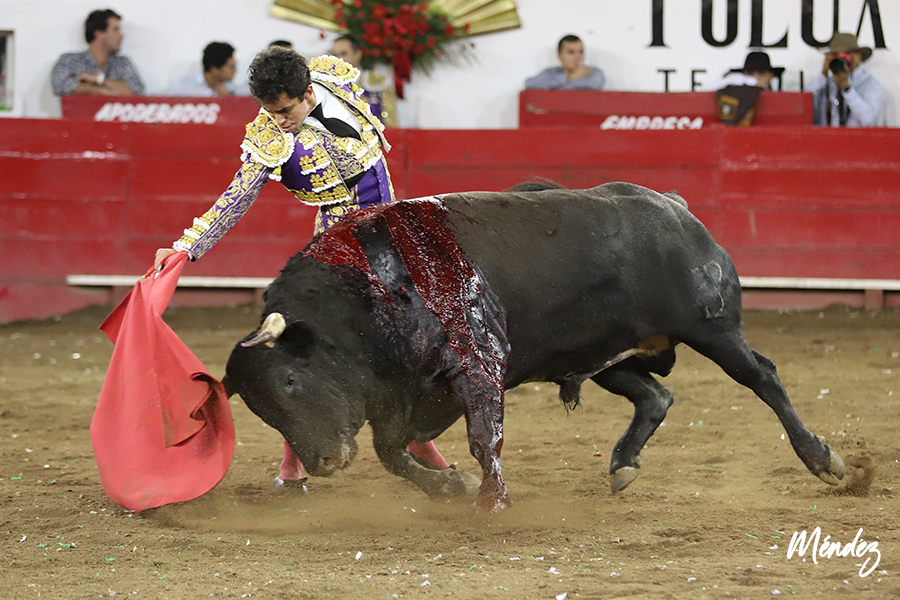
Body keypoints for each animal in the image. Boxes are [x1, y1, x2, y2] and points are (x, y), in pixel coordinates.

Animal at [224, 182, 845, 512]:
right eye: (259, 410)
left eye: (290, 380)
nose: (323, 463)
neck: (367, 296)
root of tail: (675, 207)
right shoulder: (411, 393)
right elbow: (391, 450)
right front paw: (448, 486)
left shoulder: (477, 368)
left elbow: (481, 440)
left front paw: (490, 501)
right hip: (603, 355)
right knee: (656, 396)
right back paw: (622, 464)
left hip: (712, 331)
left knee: (763, 377)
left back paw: (823, 459)